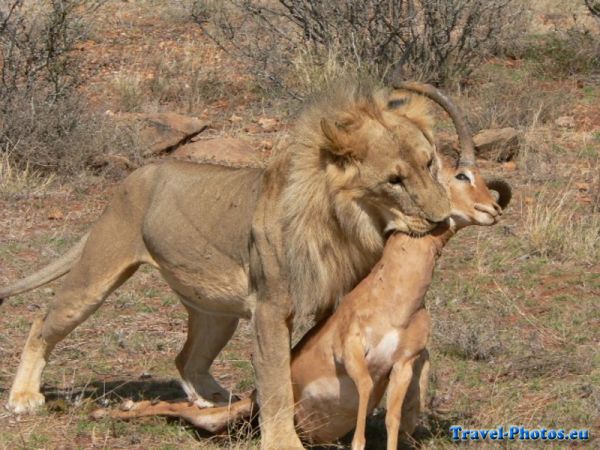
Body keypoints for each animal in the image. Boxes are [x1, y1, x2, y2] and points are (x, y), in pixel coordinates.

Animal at [1, 80, 454, 446]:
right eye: (394, 181)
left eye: (430, 162)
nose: (442, 218)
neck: (349, 224)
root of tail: (134, 177)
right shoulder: (271, 307)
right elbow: (276, 380)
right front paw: (282, 442)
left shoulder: (335, 300)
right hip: (96, 275)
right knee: (41, 323)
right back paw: (24, 397)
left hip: (216, 312)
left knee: (187, 358)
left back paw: (212, 398)